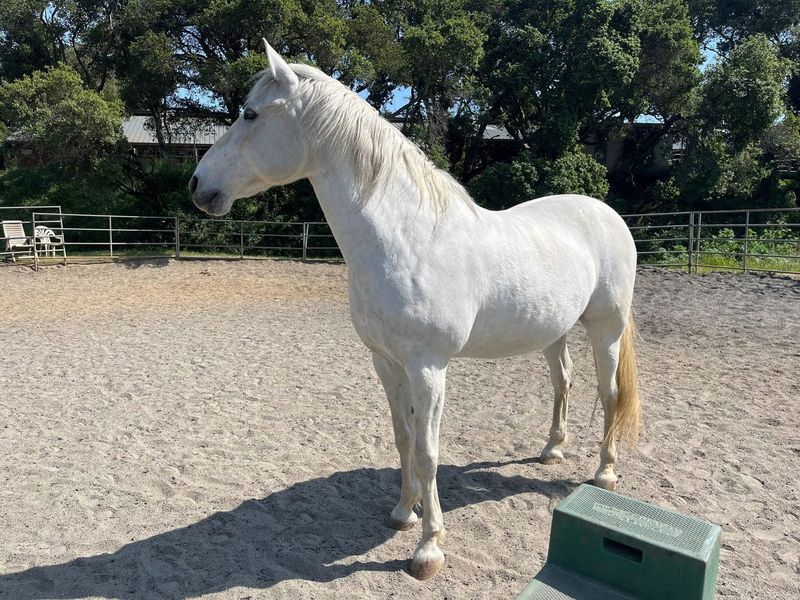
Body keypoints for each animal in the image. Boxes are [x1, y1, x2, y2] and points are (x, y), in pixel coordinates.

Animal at [189, 40, 641, 581]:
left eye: (251, 114)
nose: (197, 185)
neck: (408, 238)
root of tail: (606, 213)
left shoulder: (429, 368)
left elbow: (427, 452)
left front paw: (429, 549)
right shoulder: (387, 362)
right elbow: (403, 438)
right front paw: (403, 513)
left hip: (606, 327)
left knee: (609, 393)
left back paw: (605, 473)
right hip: (554, 331)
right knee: (563, 381)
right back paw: (552, 450)